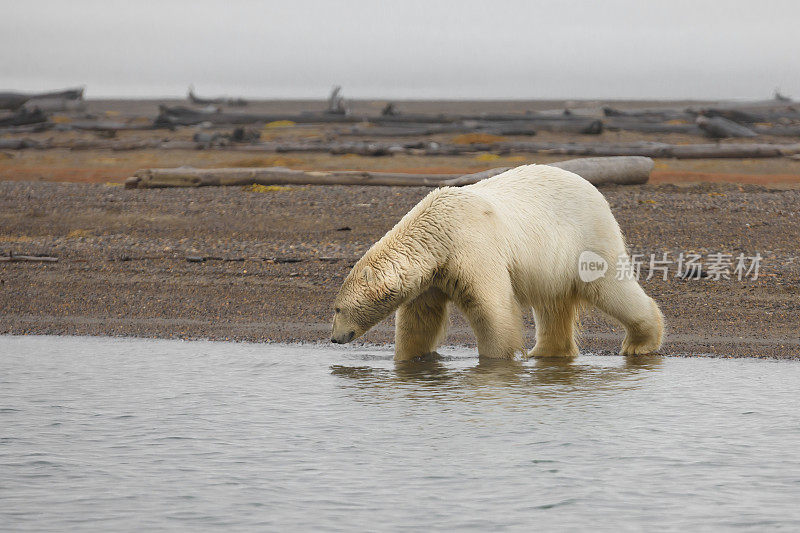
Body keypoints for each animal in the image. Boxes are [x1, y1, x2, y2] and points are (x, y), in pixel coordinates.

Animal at [330, 164, 664, 360]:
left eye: (337, 309)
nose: (333, 338)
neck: (436, 232)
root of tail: (594, 190)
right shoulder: (432, 275)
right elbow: (420, 319)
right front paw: (409, 358)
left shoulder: (472, 247)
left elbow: (491, 306)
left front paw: (497, 361)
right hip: (552, 264)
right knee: (552, 304)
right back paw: (545, 352)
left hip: (586, 237)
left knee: (611, 288)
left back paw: (640, 343)